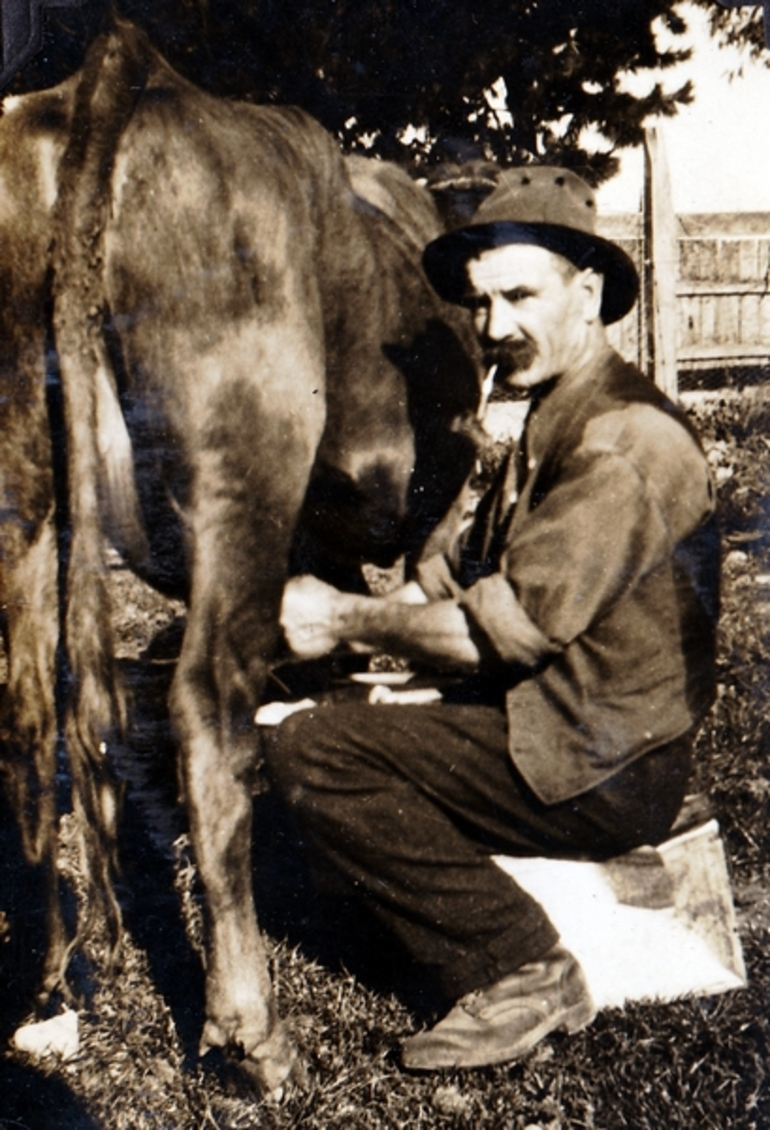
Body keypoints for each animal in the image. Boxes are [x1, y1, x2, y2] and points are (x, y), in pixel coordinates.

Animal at [0, 19, 479, 1093]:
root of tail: (124, 78)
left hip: (25, 494)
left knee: (28, 720)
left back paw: (43, 986)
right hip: (245, 467)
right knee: (207, 709)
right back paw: (253, 1031)